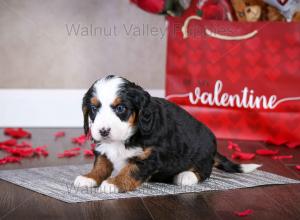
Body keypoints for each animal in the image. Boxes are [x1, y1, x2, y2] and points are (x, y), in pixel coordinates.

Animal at [74, 75, 262, 192]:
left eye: (120, 108)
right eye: (93, 109)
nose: (103, 131)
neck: (126, 137)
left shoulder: (151, 156)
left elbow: (131, 169)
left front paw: (114, 183)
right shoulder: (103, 148)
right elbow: (101, 165)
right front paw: (89, 177)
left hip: (202, 151)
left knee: (205, 171)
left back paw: (187, 176)